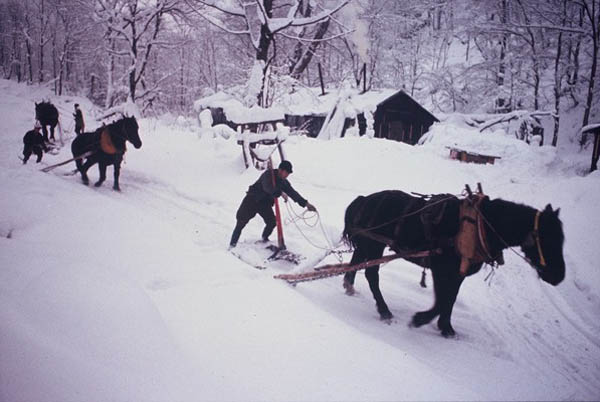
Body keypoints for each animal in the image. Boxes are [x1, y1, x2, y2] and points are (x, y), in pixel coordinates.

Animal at [342, 190, 568, 338]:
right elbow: (442, 300)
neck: (481, 226)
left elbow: (450, 299)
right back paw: (384, 311)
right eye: (548, 239)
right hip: (374, 244)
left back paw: (350, 286)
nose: (559, 276)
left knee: (356, 262)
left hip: (368, 243)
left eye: (562, 239)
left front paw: (446, 328)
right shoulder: (441, 269)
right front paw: (420, 319)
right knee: (372, 274)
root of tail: (364, 199)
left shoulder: (458, 273)